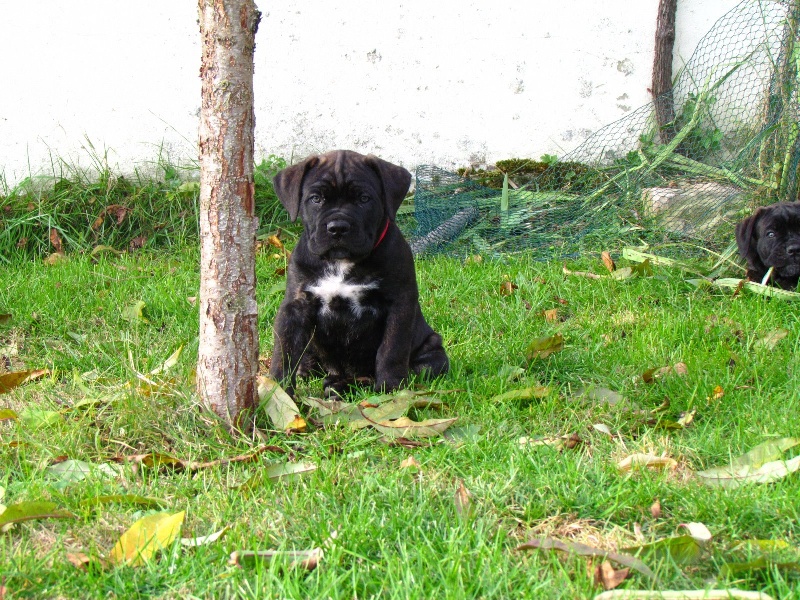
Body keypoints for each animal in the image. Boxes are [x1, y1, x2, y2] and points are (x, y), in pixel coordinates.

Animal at [269, 150, 449, 397]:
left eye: (364, 199)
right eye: (316, 199)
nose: (337, 227)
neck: (341, 262)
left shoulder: (399, 304)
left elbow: (391, 349)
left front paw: (390, 388)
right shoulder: (296, 305)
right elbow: (284, 351)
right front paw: (277, 391)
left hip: (431, 353)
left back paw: (340, 386)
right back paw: (311, 371)